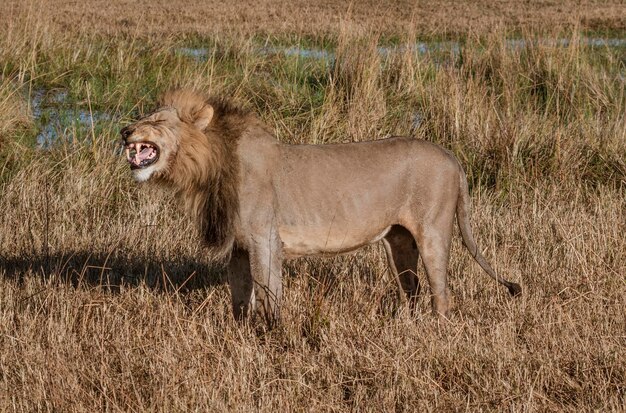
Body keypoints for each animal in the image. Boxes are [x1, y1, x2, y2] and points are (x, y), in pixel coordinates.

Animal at [119, 89, 520, 322]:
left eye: (156, 120)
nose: (124, 131)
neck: (207, 166)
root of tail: (451, 156)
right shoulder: (239, 245)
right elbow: (240, 295)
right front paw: (240, 334)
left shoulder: (265, 239)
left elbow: (269, 292)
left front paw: (273, 336)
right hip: (399, 240)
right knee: (412, 287)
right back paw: (405, 325)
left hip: (433, 232)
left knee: (441, 291)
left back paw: (435, 329)